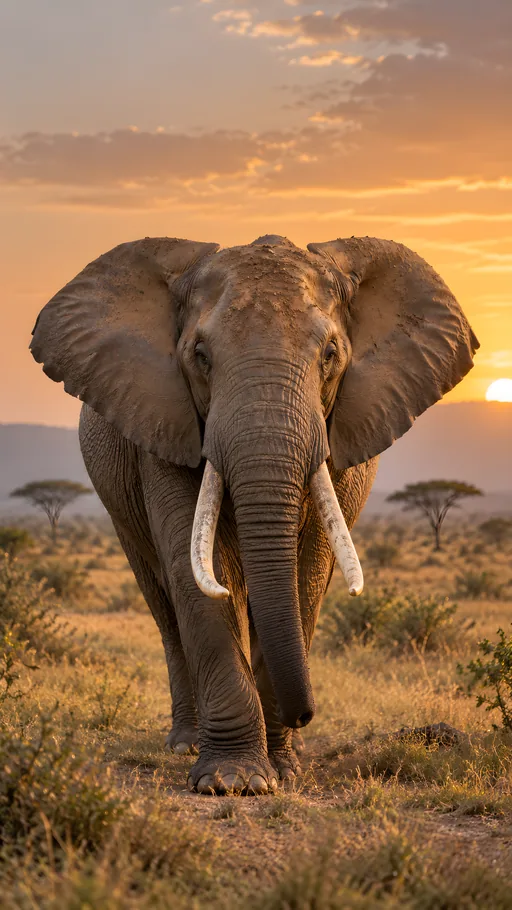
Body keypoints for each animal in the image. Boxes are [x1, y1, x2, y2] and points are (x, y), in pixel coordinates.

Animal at [30, 233, 478, 795]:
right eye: (200, 356)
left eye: (330, 354)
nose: (304, 714)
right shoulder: (165, 421)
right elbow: (194, 572)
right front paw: (234, 781)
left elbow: (308, 572)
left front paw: (284, 767)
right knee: (163, 601)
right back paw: (186, 743)